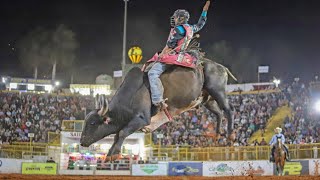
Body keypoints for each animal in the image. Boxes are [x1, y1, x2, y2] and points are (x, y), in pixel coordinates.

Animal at [80, 41, 238, 160]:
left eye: (93, 123)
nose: (82, 141)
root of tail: (220, 66)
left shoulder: (142, 119)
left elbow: (123, 133)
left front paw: (114, 154)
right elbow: (117, 135)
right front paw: (110, 155)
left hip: (217, 90)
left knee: (228, 109)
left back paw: (230, 133)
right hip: (207, 99)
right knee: (219, 113)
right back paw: (217, 133)